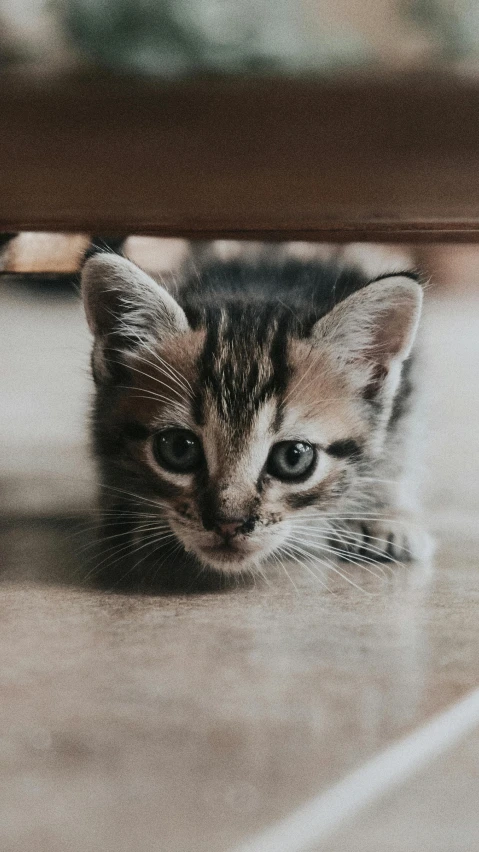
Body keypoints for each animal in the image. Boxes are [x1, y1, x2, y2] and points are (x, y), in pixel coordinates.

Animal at [81, 245, 432, 584]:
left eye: (294, 457)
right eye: (178, 448)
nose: (228, 524)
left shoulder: (401, 412)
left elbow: (391, 458)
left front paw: (386, 516)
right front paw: (134, 518)